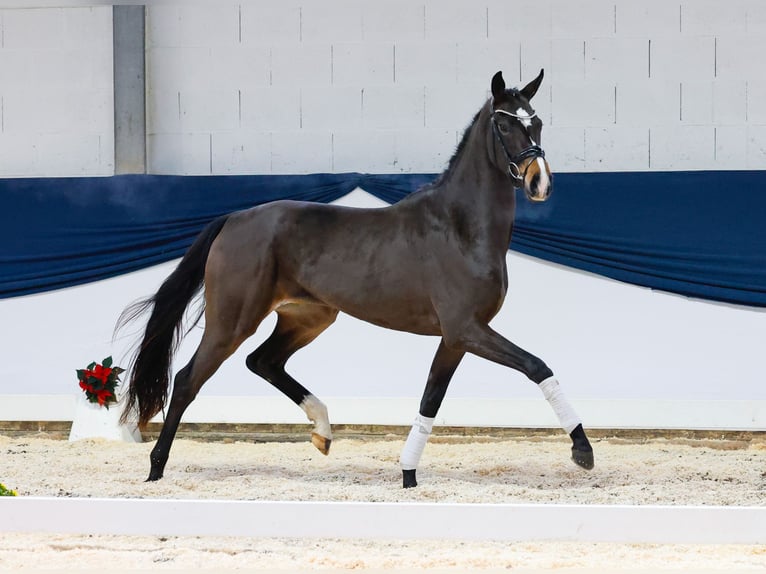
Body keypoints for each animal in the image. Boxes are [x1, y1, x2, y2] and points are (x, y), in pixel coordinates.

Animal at [120, 70, 596, 488]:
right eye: (504, 123)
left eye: (536, 121)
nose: (539, 182)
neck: (461, 227)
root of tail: (234, 218)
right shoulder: (467, 329)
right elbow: (537, 366)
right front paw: (583, 451)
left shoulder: (456, 337)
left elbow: (430, 400)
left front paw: (408, 475)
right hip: (232, 321)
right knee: (187, 380)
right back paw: (155, 469)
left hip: (309, 317)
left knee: (263, 361)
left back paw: (323, 433)